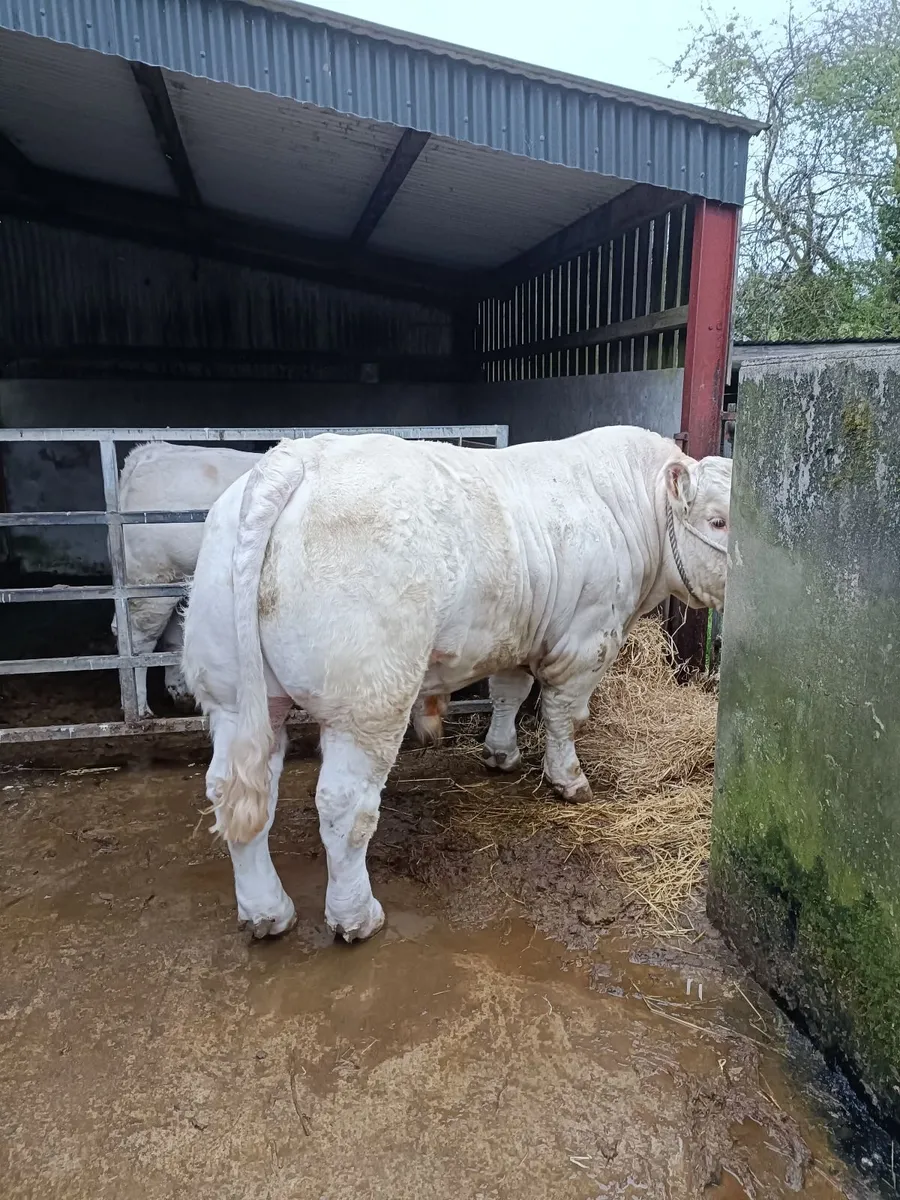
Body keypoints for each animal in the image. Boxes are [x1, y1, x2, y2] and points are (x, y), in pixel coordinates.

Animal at [181, 426, 732, 942]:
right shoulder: (586, 639)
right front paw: (568, 779)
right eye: (718, 521)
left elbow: (509, 693)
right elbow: (563, 716)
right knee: (344, 806)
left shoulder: (516, 632)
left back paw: (266, 911)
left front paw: (500, 754)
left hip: (233, 695)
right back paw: (355, 917)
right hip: (367, 701)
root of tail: (295, 457)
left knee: (234, 790)